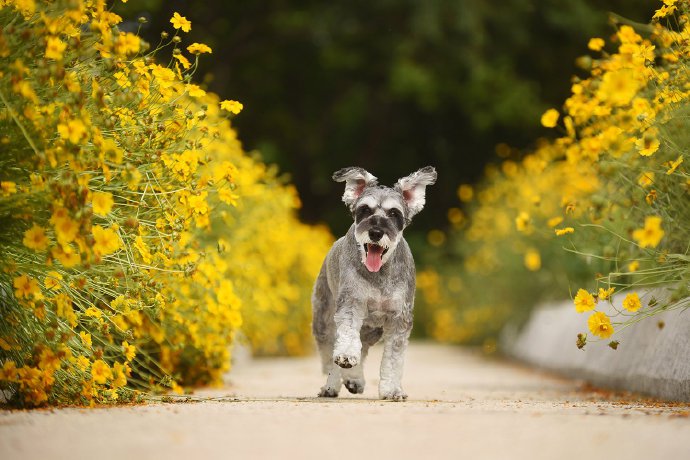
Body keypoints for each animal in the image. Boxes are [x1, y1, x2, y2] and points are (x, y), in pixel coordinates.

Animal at [312, 165, 436, 398]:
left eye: (394, 213)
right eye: (365, 210)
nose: (376, 232)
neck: (379, 275)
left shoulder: (399, 319)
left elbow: (393, 359)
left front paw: (392, 390)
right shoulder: (351, 305)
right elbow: (347, 341)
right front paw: (346, 360)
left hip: (371, 330)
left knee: (362, 349)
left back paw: (354, 380)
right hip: (323, 321)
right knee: (334, 352)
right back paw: (333, 385)